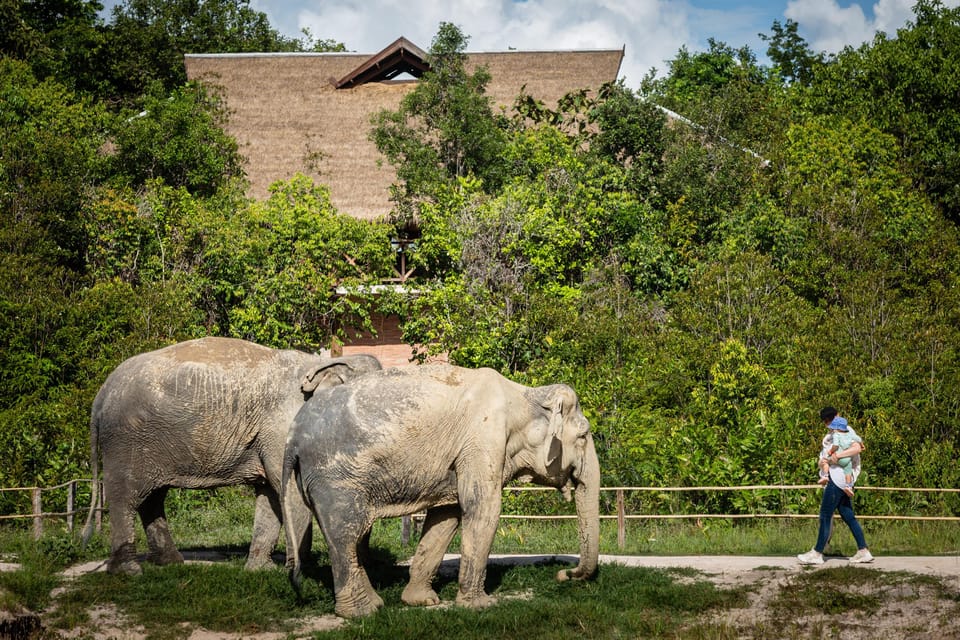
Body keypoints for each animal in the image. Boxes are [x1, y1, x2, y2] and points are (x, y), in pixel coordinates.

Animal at [81, 336, 382, 576]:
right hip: (125, 440)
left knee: (153, 498)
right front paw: (302, 570)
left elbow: (270, 495)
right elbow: (289, 491)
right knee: (126, 496)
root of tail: (101, 394)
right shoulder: (282, 426)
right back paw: (129, 571)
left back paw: (170, 563)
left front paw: (261, 571)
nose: (372, 565)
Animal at [284, 364, 600, 620]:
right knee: (346, 534)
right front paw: (481, 606)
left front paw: (422, 602)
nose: (563, 574)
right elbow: (482, 507)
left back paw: (373, 604)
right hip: (334, 479)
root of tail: (292, 437)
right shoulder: (484, 438)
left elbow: (447, 516)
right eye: (583, 436)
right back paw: (364, 612)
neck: (526, 395)